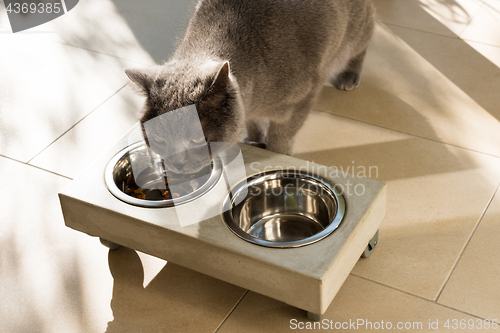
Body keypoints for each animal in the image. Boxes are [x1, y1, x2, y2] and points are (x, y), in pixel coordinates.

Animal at [126, 0, 376, 174]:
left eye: (197, 140)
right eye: (159, 140)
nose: (176, 163)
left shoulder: (301, 100)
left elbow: (281, 137)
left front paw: (277, 153)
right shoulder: (248, 110)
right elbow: (253, 124)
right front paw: (255, 141)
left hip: (354, 31)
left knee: (365, 38)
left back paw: (349, 76)